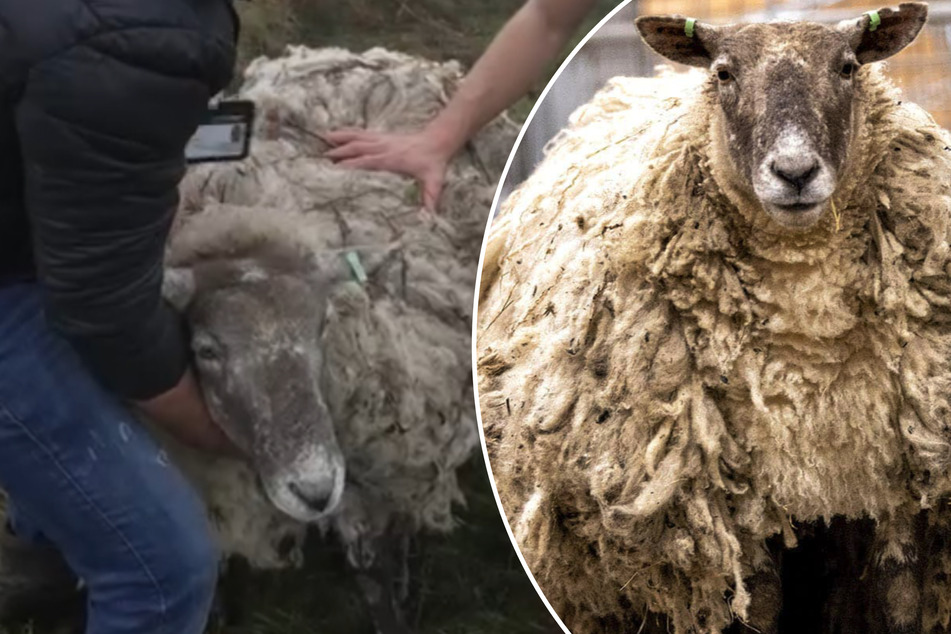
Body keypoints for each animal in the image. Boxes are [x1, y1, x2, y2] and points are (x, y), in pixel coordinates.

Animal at [476, 3, 951, 633]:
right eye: (724, 73)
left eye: (848, 67)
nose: (795, 172)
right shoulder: (725, 501)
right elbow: (759, 608)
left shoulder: (901, 480)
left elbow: (897, 602)